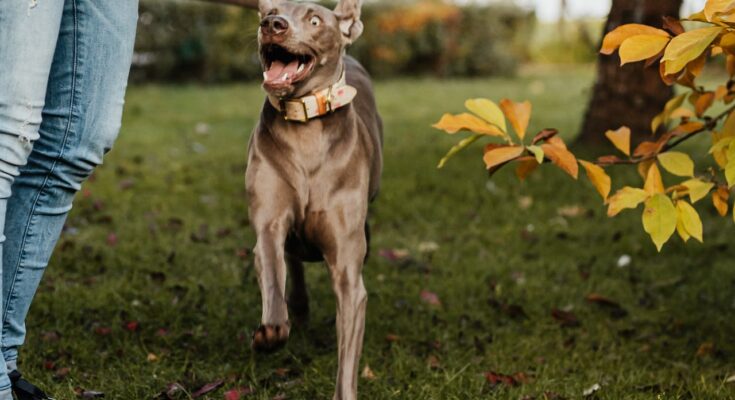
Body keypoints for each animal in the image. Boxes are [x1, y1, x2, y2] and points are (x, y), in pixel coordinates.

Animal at [247, 0, 386, 396]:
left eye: (314, 19)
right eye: (271, 10)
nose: (272, 24)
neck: (305, 126)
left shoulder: (348, 272)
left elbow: (347, 356)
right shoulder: (269, 221)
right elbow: (271, 265)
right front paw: (272, 330)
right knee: (291, 260)